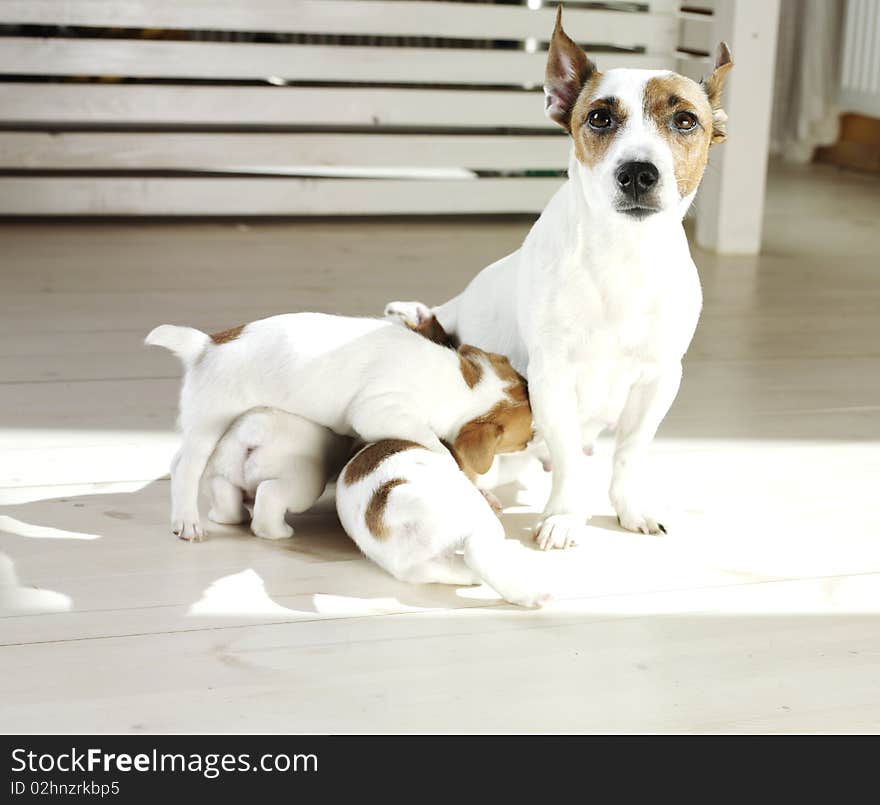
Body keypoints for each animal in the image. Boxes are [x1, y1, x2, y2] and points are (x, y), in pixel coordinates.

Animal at [203, 408, 350, 540]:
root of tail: (256, 430)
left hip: (224, 469)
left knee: (225, 494)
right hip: (301, 483)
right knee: (269, 495)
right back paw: (279, 532)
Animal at [336, 436, 552, 608]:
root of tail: (388, 499)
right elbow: (521, 459)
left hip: (418, 567)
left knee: (460, 569)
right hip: (478, 518)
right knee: (477, 554)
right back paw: (533, 594)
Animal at [388, 7, 732, 548]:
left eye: (685, 120)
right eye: (600, 117)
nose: (639, 172)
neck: (622, 257)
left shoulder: (660, 379)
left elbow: (630, 451)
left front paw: (630, 507)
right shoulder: (551, 378)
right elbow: (569, 455)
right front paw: (565, 516)